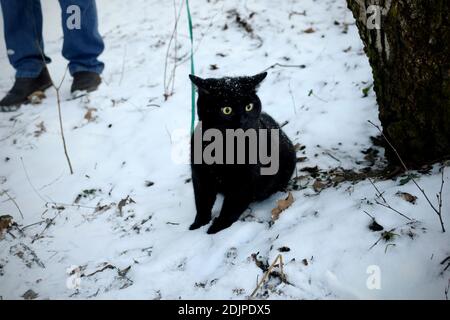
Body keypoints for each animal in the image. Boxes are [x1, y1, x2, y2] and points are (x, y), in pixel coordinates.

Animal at [189, 72, 298, 232]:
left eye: (249, 107)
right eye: (226, 109)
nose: (243, 120)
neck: (224, 148)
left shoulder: (245, 182)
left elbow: (231, 207)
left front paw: (216, 227)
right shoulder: (201, 176)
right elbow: (202, 202)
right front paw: (198, 224)